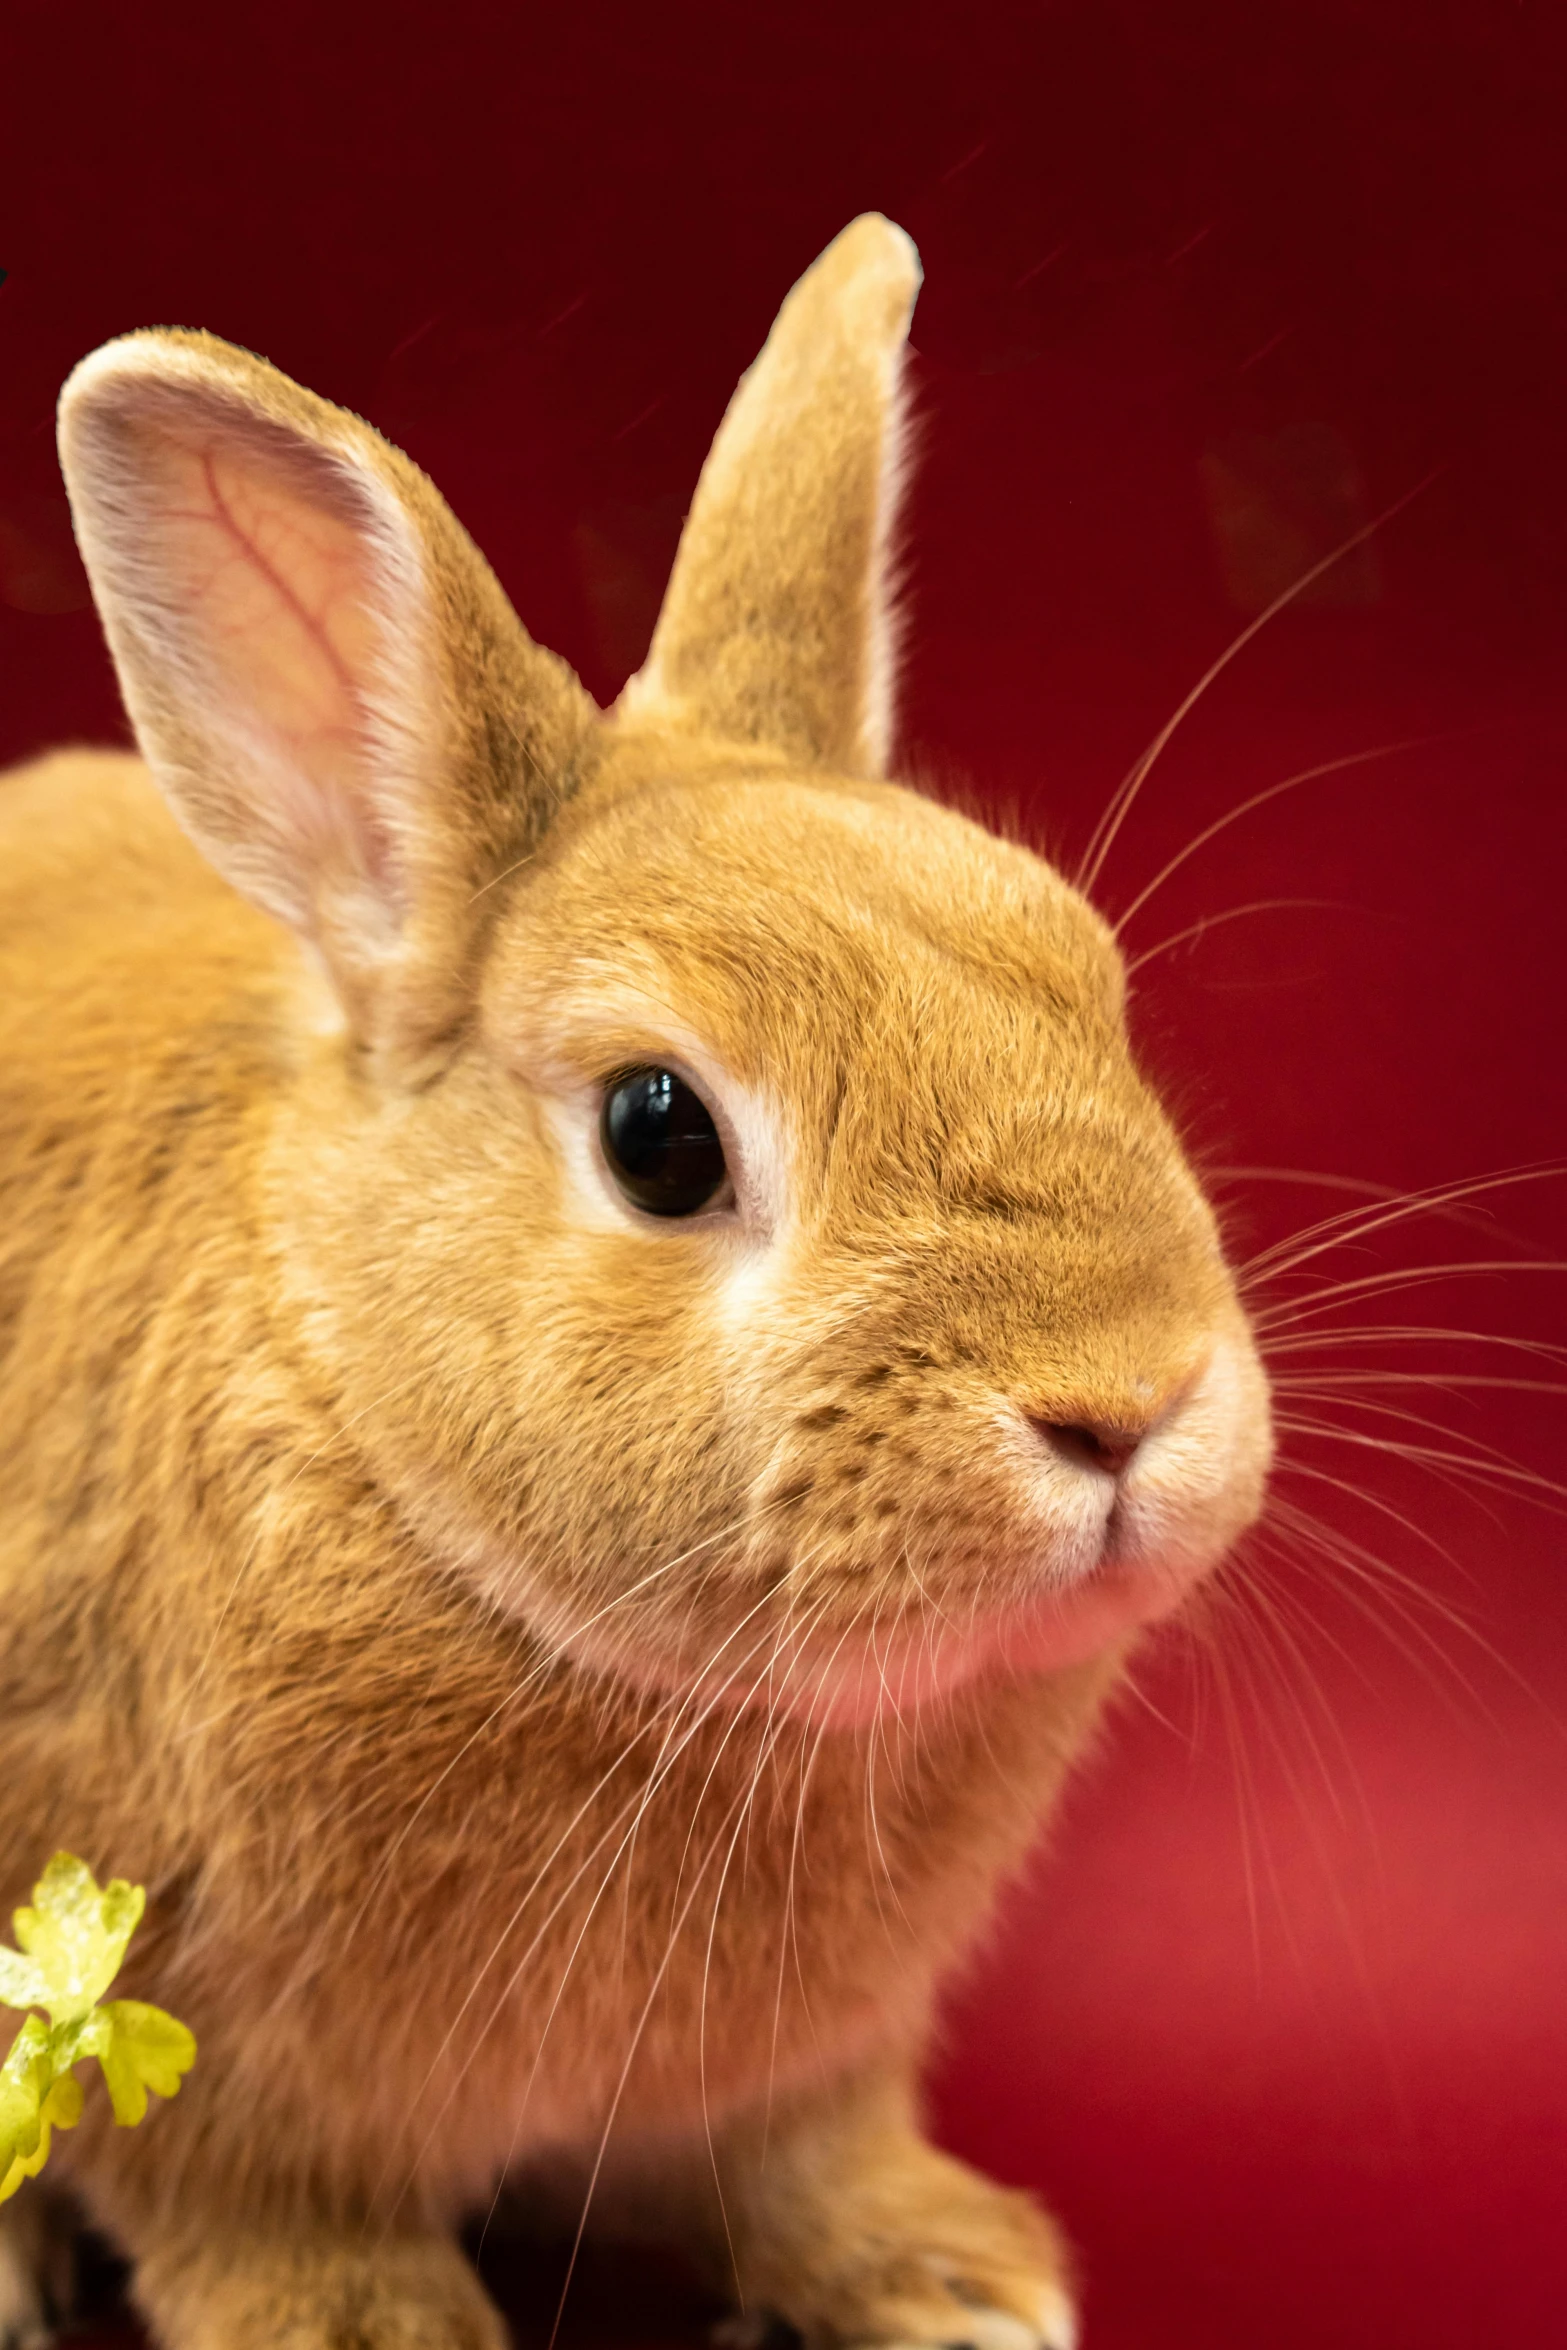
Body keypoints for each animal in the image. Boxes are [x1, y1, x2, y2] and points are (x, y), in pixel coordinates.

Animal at [0, 206, 1278, 2350]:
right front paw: (381, 2337)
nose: (1125, 1400)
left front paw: (955, 2286)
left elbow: (807, 2162)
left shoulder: (801, 2071)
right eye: (659, 1135)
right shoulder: (217, 2091)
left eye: (1086, 984)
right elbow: (266, 2226)